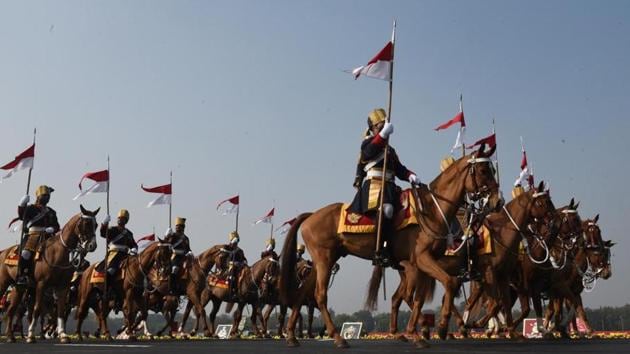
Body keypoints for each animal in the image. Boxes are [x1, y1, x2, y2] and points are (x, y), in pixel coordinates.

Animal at [0, 205, 99, 342]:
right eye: (85, 223)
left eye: (96, 225)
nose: (92, 245)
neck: (58, 252)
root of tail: (4, 251)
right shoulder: (41, 285)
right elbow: (36, 310)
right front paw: (31, 335)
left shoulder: (63, 287)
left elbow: (60, 311)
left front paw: (63, 335)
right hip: (4, 282)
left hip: (19, 287)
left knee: (11, 310)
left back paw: (10, 336)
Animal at [282, 145, 504, 348]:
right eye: (483, 171)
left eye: (492, 170)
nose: (497, 201)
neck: (432, 211)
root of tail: (311, 215)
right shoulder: (422, 259)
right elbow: (448, 283)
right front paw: (440, 327)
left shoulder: (420, 264)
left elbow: (419, 299)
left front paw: (417, 333)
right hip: (325, 260)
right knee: (320, 295)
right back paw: (337, 337)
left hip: (323, 261)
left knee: (303, 293)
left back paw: (292, 335)